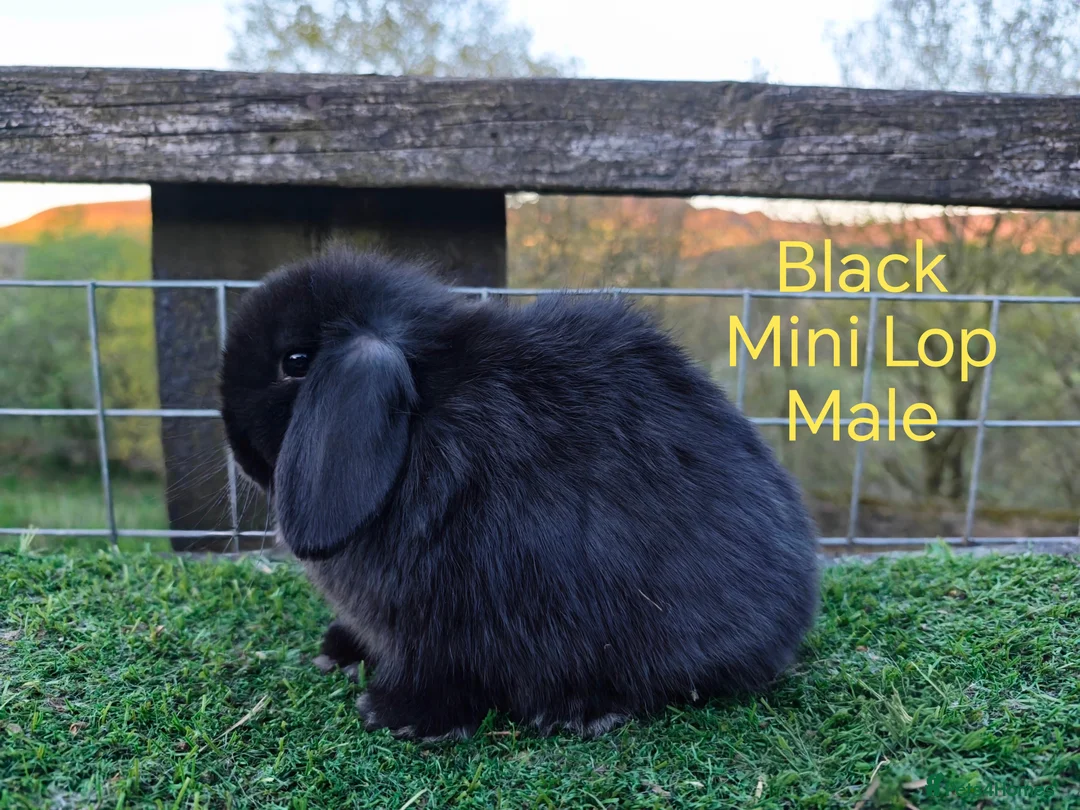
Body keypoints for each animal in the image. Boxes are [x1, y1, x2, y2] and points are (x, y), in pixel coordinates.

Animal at [220, 248, 819, 741]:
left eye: (296, 363)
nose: (239, 449)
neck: (425, 415)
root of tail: (796, 610)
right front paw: (340, 654)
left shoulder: (448, 620)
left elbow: (445, 672)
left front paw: (398, 716)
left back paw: (577, 712)